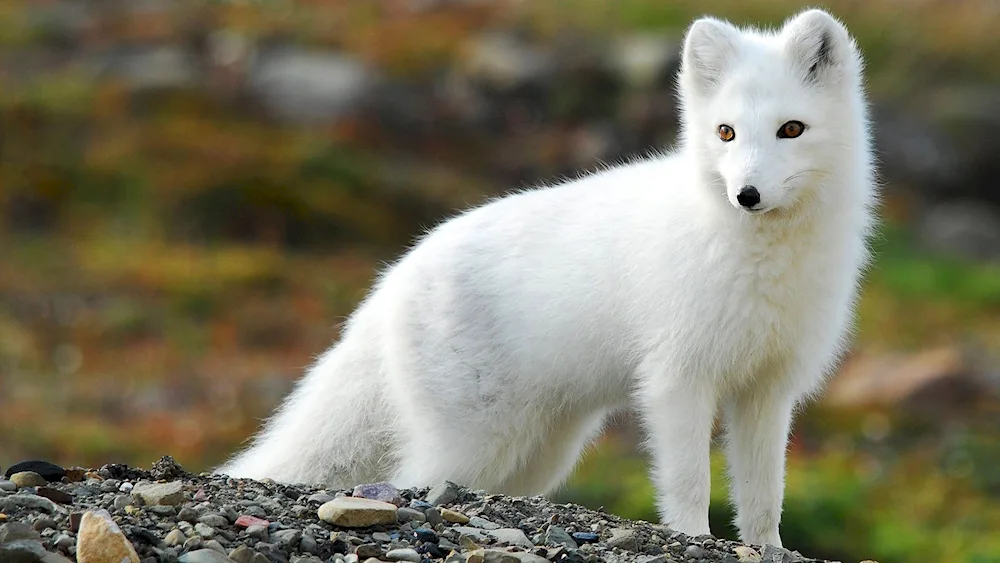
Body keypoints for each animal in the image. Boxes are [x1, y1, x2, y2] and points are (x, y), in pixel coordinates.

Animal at [219, 7, 876, 548]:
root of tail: (396, 274)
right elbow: (689, 483)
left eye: (791, 129)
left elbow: (764, 495)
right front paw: (693, 538)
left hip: (542, 450)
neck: (765, 261)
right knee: (412, 480)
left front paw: (769, 549)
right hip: (475, 440)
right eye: (726, 132)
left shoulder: (768, 387)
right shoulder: (678, 378)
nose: (747, 194)